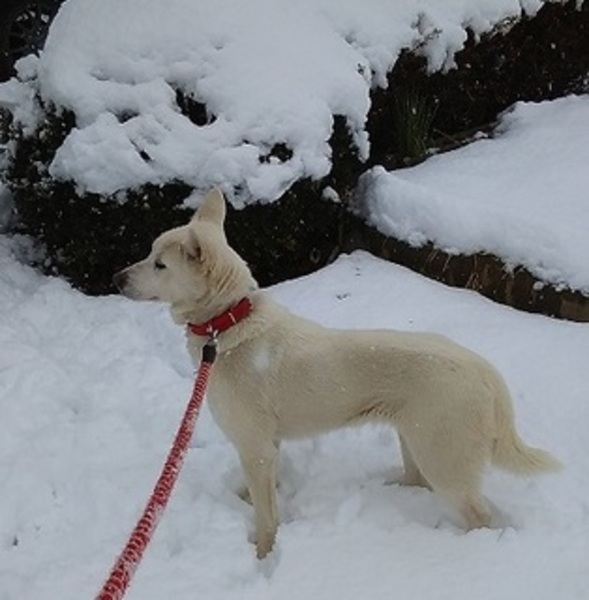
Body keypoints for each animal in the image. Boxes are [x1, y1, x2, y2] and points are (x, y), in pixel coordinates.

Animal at [114, 188, 560, 558]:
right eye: (150, 254)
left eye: (159, 264)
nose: (115, 278)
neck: (228, 323)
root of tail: (487, 373)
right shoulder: (266, 447)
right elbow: (259, 492)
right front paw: (242, 500)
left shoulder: (255, 446)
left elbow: (267, 515)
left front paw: (263, 555)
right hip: (414, 439)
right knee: (418, 482)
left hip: (441, 456)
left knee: (479, 516)